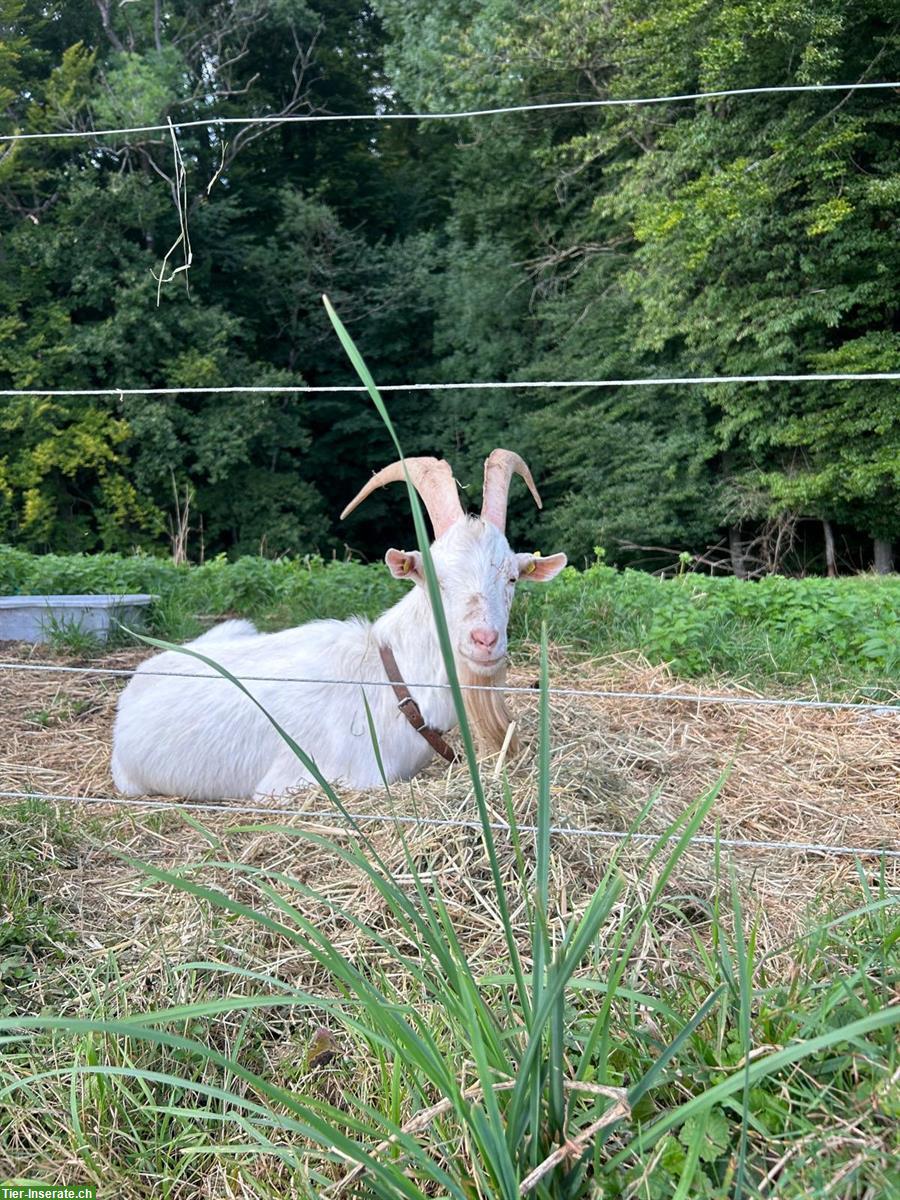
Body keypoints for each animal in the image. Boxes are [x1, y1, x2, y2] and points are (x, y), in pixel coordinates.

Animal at [111, 453, 564, 801]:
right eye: (435, 579)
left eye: (512, 578)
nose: (485, 639)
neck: (390, 683)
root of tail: (140, 676)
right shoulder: (294, 782)